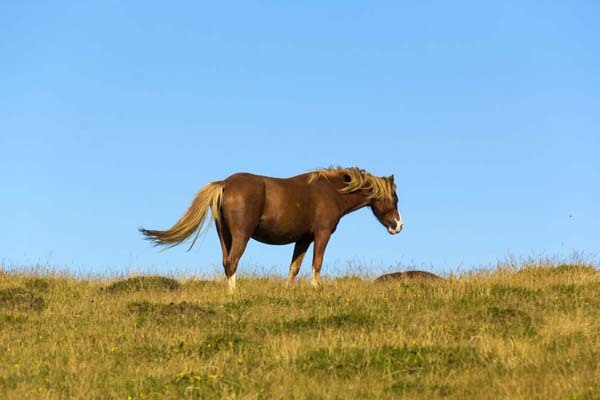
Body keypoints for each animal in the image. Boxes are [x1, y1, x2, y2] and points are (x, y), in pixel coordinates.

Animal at [141, 166, 404, 290]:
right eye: (395, 198)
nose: (398, 226)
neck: (330, 191)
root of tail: (225, 184)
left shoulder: (303, 238)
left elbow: (294, 267)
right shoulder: (322, 233)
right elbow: (316, 264)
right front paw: (316, 288)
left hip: (224, 235)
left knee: (226, 262)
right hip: (241, 235)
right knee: (232, 262)